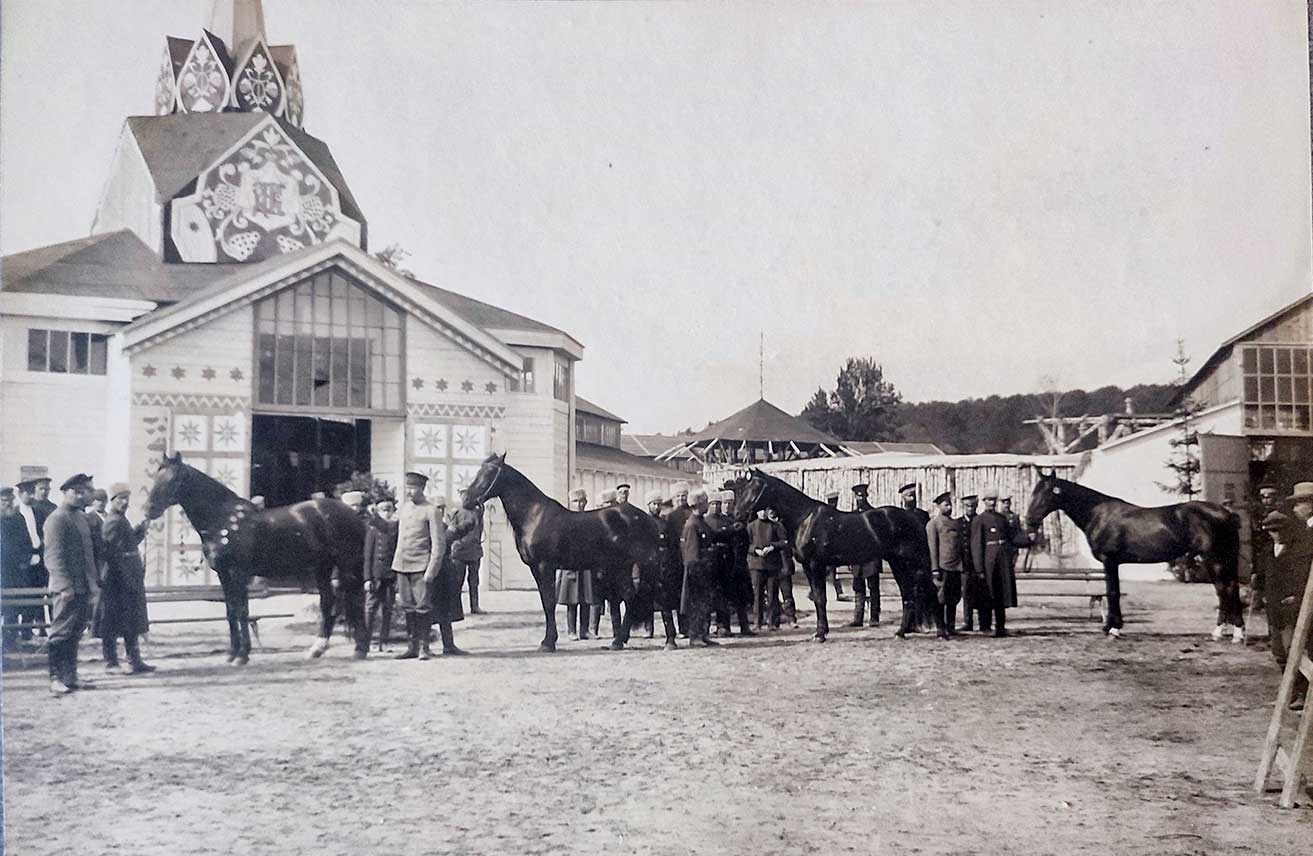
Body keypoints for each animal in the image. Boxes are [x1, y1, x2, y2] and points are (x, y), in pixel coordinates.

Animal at [143, 451, 370, 664]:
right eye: (157, 476)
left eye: (176, 479)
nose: (148, 510)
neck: (224, 520)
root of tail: (354, 515)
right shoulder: (224, 575)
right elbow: (231, 612)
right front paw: (232, 654)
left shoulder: (238, 573)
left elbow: (242, 611)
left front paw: (243, 655)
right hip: (323, 567)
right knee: (328, 601)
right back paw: (317, 649)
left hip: (346, 566)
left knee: (357, 601)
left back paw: (360, 649)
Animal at [464, 451, 667, 651]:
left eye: (490, 472)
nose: (466, 499)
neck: (534, 516)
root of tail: (647, 519)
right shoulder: (535, 568)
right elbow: (546, 602)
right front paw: (548, 640)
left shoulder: (545, 566)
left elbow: (549, 602)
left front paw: (548, 642)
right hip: (622, 566)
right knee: (630, 596)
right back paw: (620, 640)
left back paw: (619, 641)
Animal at [735, 467, 940, 640]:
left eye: (755, 489)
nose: (737, 515)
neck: (804, 518)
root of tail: (913, 518)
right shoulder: (808, 567)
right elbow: (817, 598)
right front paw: (821, 631)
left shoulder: (816, 565)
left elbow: (820, 598)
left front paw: (820, 634)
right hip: (898, 563)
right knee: (909, 594)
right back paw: (901, 632)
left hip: (912, 562)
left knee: (926, 590)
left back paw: (938, 632)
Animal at [1024, 464, 1239, 638]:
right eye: (1033, 491)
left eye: (1048, 493)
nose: (1029, 521)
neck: (1098, 514)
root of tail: (1226, 513)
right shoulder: (1113, 562)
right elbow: (1114, 591)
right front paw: (1113, 627)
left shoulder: (1109, 560)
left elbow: (1112, 592)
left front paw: (1112, 628)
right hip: (1225, 558)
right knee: (1232, 587)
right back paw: (1237, 632)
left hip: (1212, 558)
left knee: (1223, 589)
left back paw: (1220, 631)